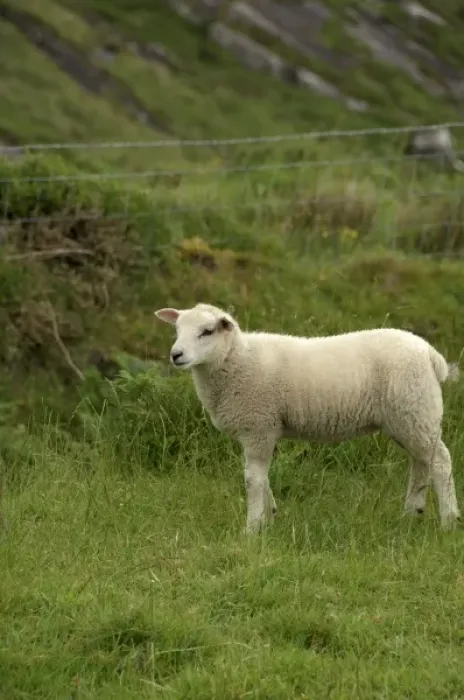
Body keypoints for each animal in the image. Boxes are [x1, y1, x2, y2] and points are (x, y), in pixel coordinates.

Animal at [155, 303, 461, 534]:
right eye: (177, 330)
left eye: (207, 332)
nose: (176, 355)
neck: (237, 359)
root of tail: (430, 353)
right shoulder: (264, 429)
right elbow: (263, 478)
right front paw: (269, 516)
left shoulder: (258, 425)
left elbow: (253, 479)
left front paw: (252, 528)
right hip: (408, 417)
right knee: (421, 462)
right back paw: (412, 513)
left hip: (415, 409)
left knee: (441, 462)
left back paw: (449, 521)